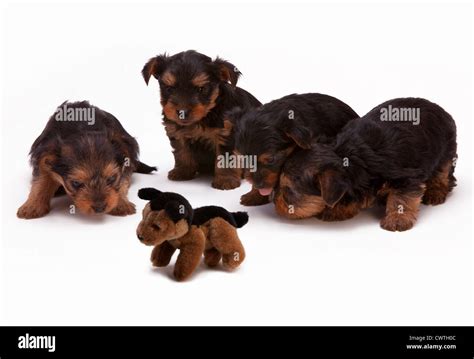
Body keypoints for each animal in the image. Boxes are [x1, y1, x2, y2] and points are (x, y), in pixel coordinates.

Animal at [17, 100, 156, 219]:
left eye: (112, 178)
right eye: (76, 183)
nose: (100, 208)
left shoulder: (126, 157)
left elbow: (123, 181)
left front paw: (121, 204)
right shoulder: (44, 155)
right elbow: (40, 181)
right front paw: (32, 206)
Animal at [143, 51, 262, 191]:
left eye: (201, 89)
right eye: (169, 89)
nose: (182, 112)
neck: (205, 116)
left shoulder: (226, 134)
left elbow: (226, 158)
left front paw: (225, 180)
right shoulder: (177, 132)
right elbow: (181, 151)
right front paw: (183, 171)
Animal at [276, 97, 458, 233]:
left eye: (288, 192)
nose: (274, 201)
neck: (346, 155)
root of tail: (439, 108)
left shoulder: (406, 177)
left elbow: (402, 197)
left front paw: (397, 219)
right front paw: (337, 209)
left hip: (446, 148)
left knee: (442, 171)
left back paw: (435, 192)